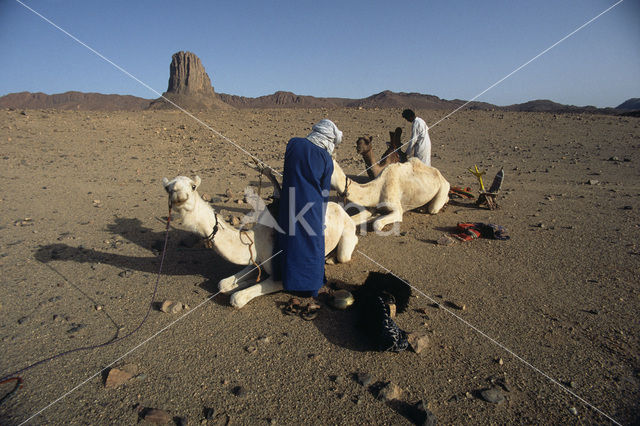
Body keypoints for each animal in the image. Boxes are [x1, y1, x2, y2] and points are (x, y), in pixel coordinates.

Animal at [162, 175, 358, 308]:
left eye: (193, 186)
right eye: (168, 189)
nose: (180, 197)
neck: (259, 240)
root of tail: (340, 208)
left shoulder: (282, 277)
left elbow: (237, 298)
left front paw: (241, 289)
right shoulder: (257, 260)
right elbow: (223, 284)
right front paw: (237, 284)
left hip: (347, 232)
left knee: (347, 250)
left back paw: (331, 258)